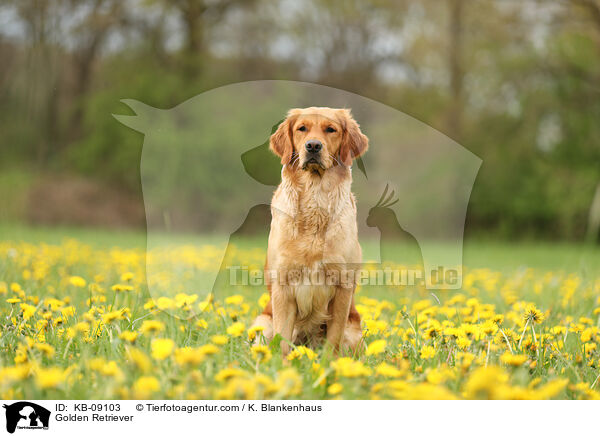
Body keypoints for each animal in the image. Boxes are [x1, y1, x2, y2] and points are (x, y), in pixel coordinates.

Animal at [251, 107, 368, 356]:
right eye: (301, 128)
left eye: (331, 129)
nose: (313, 146)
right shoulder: (283, 286)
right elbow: (283, 340)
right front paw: (284, 363)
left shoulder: (342, 287)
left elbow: (333, 339)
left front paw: (331, 363)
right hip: (262, 324)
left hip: (354, 334)